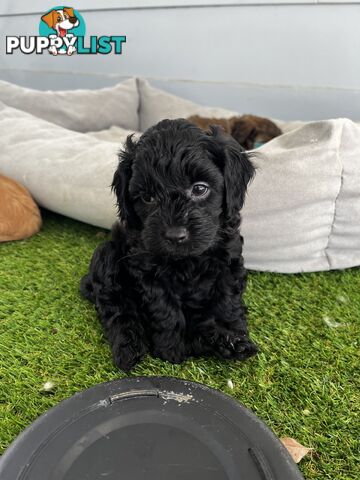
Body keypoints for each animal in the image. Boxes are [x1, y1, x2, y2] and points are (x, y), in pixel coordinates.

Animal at [80, 117, 258, 372]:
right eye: (147, 197)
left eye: (200, 188)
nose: (175, 235)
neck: (188, 260)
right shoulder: (147, 270)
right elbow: (165, 310)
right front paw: (171, 349)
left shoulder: (229, 260)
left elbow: (227, 301)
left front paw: (233, 336)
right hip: (107, 256)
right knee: (117, 309)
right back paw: (129, 348)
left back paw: (217, 341)